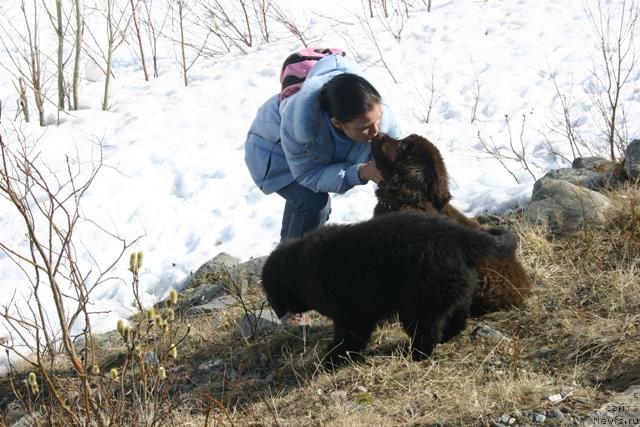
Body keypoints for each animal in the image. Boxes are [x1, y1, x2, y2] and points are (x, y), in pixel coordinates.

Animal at [260, 211, 516, 364]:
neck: (293, 268)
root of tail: (457, 237)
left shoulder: (351, 314)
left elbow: (349, 337)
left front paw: (332, 358)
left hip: (420, 300)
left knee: (426, 330)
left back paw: (416, 354)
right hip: (454, 287)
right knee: (457, 317)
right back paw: (444, 338)